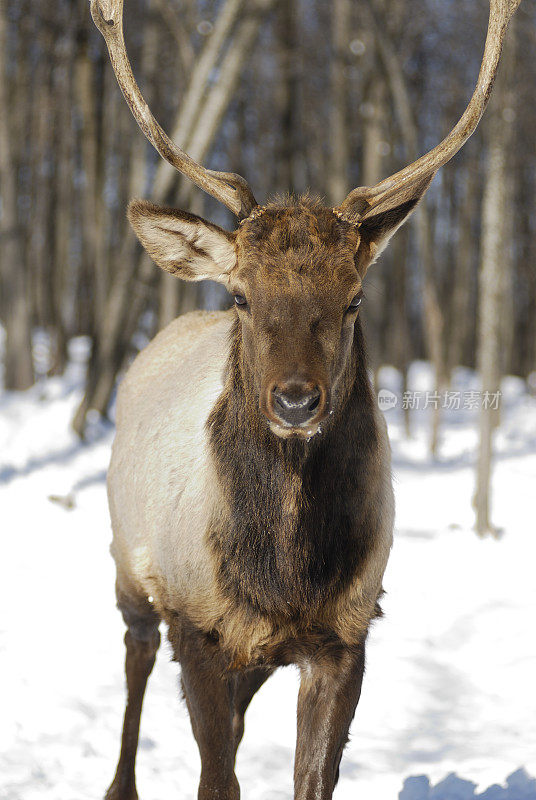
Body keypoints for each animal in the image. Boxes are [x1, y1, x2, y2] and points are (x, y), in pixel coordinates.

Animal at [91, 3, 520, 796]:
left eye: (354, 300)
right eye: (241, 295)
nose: (295, 402)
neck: (284, 574)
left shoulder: (344, 635)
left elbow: (307, 777)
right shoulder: (196, 622)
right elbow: (216, 779)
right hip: (128, 560)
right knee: (135, 660)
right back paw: (119, 783)